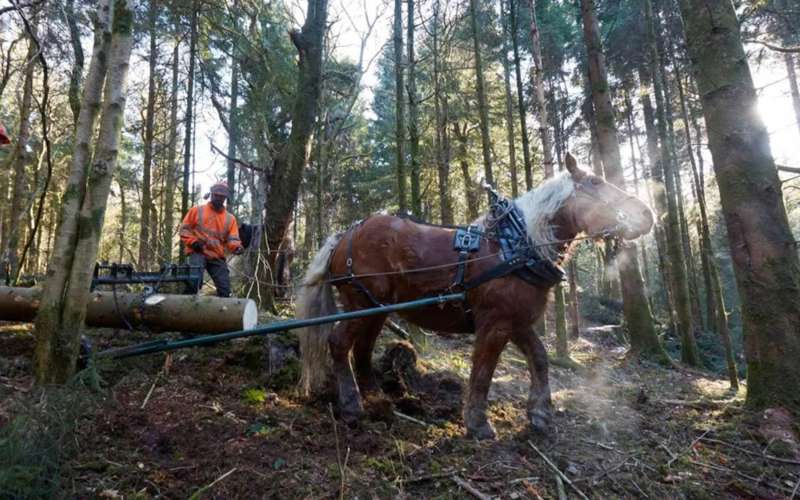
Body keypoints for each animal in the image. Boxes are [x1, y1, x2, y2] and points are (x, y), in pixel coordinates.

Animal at [296, 154, 652, 440]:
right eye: (595, 182)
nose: (646, 213)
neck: (517, 246)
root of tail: (345, 234)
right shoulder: (495, 323)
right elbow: (483, 371)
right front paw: (478, 424)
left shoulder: (517, 322)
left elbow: (539, 359)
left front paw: (540, 415)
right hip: (361, 303)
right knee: (340, 343)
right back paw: (352, 405)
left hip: (377, 308)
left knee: (362, 349)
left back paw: (378, 399)